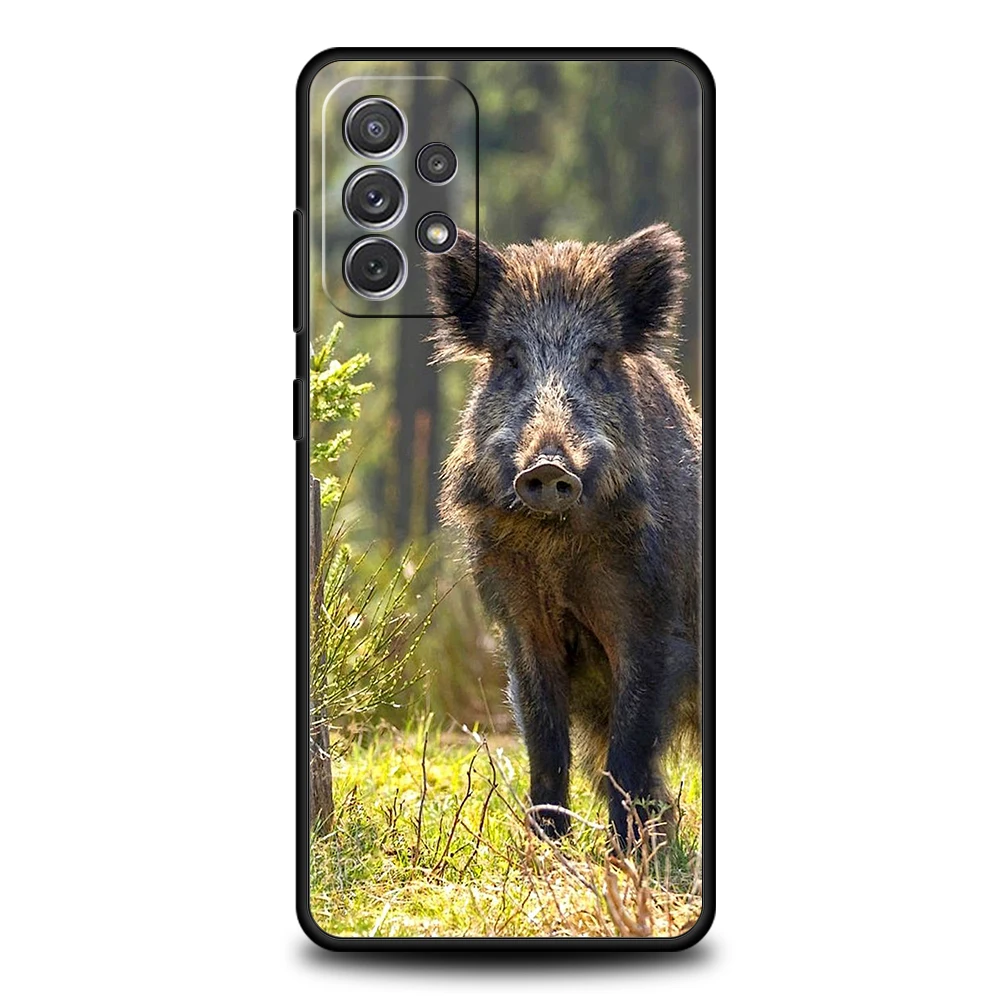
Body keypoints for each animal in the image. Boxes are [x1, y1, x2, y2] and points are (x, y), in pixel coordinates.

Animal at [428, 225, 701, 850]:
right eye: (510, 356)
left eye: (597, 357)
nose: (549, 466)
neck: (558, 554)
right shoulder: (520, 619)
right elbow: (546, 748)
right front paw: (549, 850)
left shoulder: (652, 620)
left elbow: (629, 750)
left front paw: (629, 855)